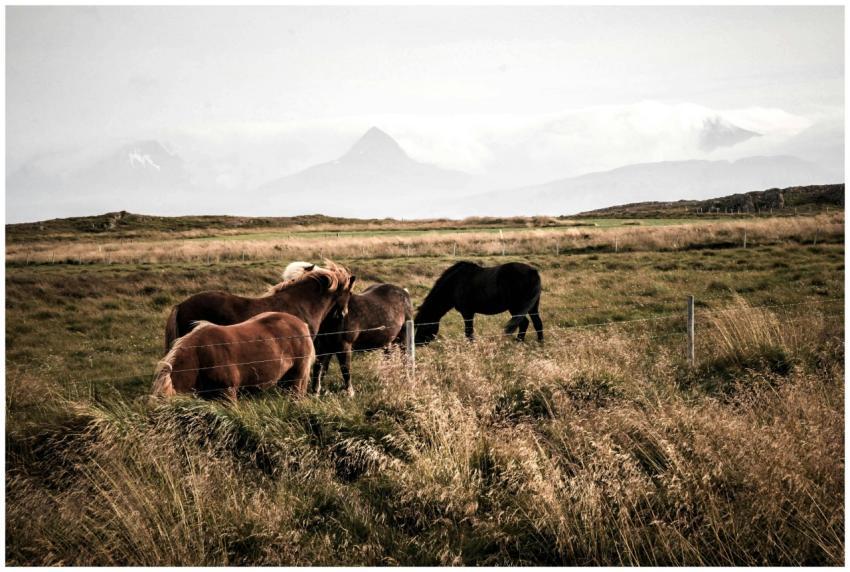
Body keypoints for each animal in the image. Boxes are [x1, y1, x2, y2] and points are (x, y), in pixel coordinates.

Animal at [414, 261, 543, 344]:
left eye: (422, 325)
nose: (416, 343)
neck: (455, 283)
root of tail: (533, 271)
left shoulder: (467, 312)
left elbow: (468, 332)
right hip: (531, 307)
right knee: (537, 323)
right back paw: (539, 343)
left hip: (516, 308)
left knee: (524, 323)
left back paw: (518, 342)